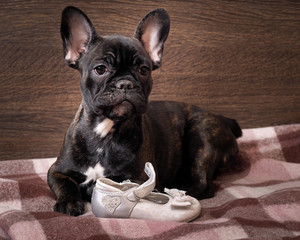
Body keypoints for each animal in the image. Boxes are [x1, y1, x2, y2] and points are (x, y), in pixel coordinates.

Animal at [48, 6, 243, 216]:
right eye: (100, 69)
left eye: (143, 70)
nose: (125, 83)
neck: (105, 130)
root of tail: (222, 118)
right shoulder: (56, 171)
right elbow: (65, 184)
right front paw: (69, 201)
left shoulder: (138, 178)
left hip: (201, 134)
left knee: (202, 183)